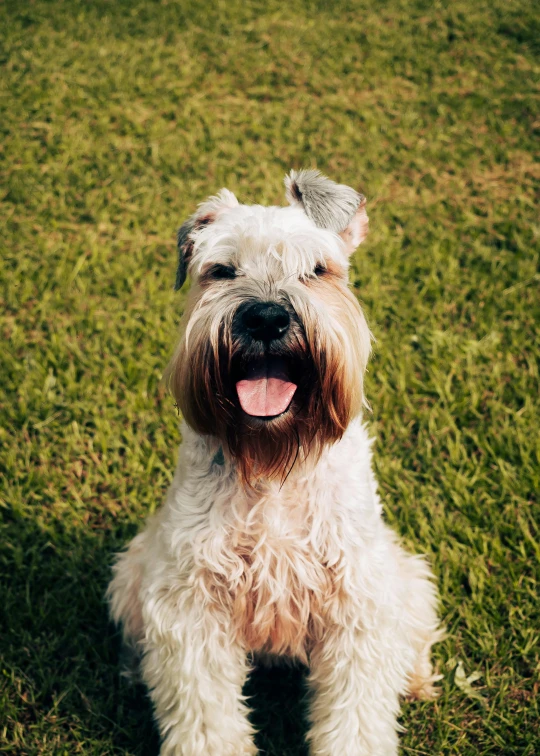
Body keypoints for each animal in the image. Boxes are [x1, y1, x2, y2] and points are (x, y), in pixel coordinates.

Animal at [106, 171, 442, 756]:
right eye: (221, 270)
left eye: (317, 269)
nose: (265, 317)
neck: (272, 467)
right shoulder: (190, 604)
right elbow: (206, 716)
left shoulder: (358, 601)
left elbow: (355, 714)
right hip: (133, 571)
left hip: (404, 576)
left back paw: (416, 678)